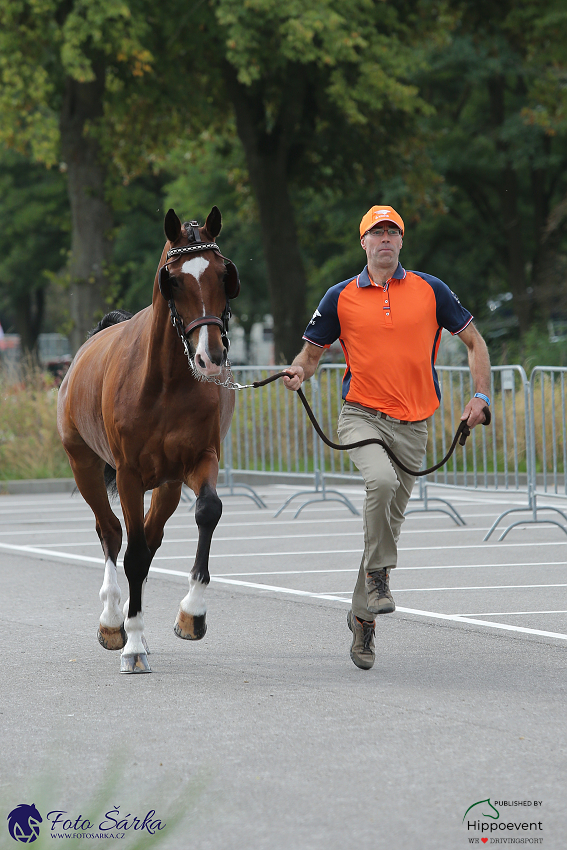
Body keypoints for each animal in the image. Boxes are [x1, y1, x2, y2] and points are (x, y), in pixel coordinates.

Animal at [58, 205, 241, 668]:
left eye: (222, 275)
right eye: (172, 279)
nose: (211, 357)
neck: (166, 382)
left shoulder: (199, 461)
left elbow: (208, 511)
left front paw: (193, 612)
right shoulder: (127, 474)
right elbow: (133, 553)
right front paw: (134, 643)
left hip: (168, 484)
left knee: (151, 535)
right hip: (84, 466)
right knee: (111, 533)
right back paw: (113, 621)